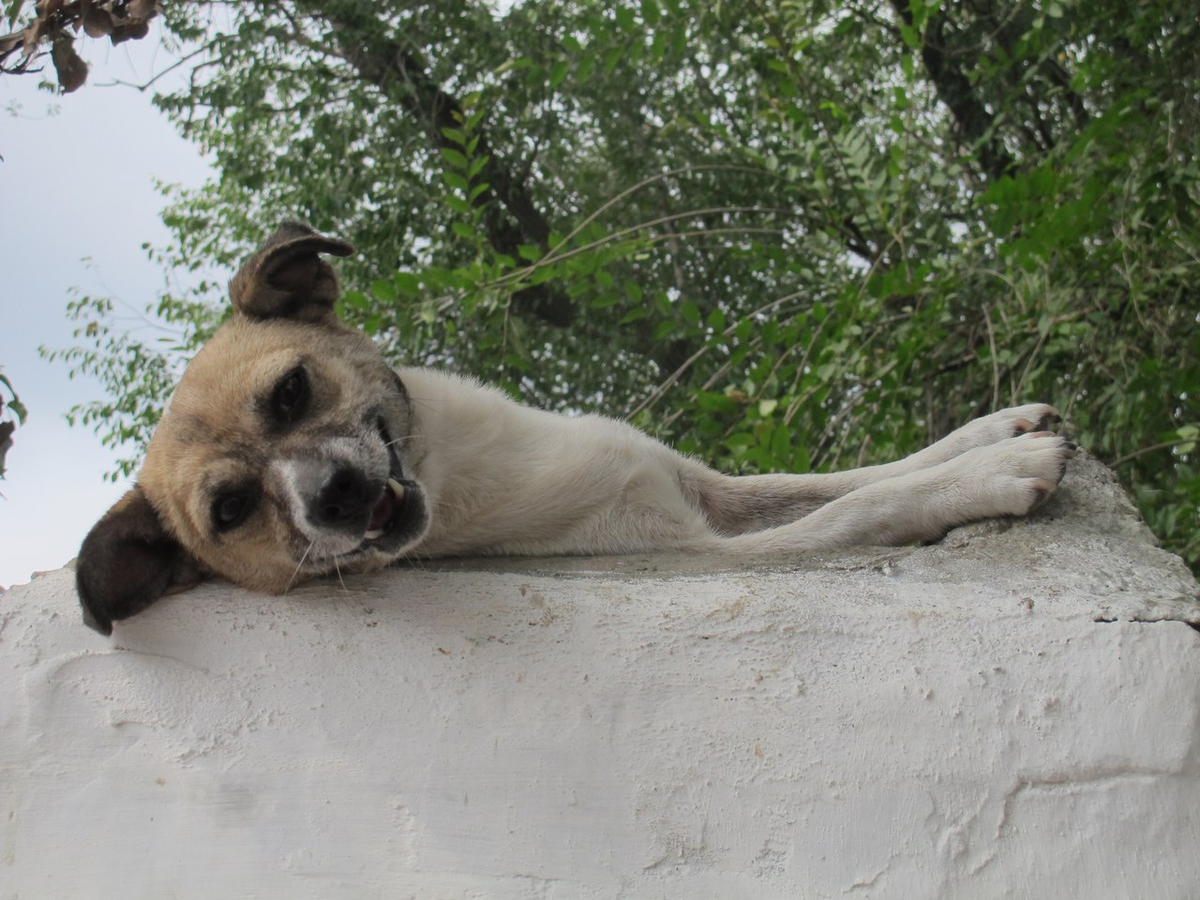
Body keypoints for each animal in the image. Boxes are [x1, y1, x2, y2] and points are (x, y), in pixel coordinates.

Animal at [75, 224, 1080, 633]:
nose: (334, 496)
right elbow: (857, 510)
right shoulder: (704, 549)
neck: (460, 466)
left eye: (288, 393)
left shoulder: (704, 486)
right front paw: (993, 474)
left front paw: (986, 431)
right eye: (231, 511)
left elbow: (846, 476)